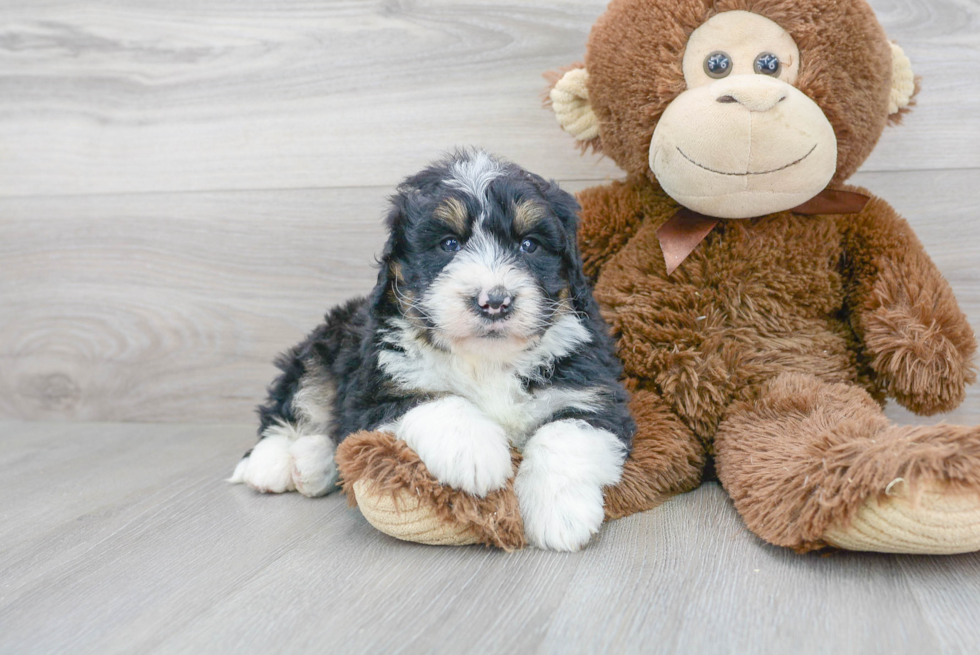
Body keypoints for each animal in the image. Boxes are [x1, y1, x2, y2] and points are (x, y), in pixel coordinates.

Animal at [234, 151, 640, 552]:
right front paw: (475, 454)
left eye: (529, 245)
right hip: (320, 350)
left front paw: (559, 514)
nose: (494, 301)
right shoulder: (377, 389)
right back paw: (272, 463)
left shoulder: (592, 389)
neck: (487, 360)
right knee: (292, 406)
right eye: (448, 244)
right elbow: (436, 399)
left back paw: (310, 463)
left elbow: (565, 434)